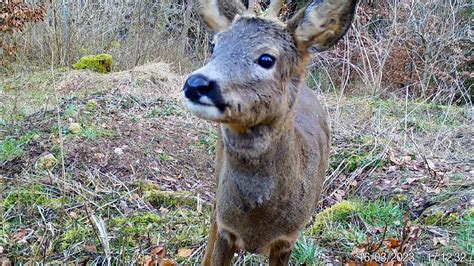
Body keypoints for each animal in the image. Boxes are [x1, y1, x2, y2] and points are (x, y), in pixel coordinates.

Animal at [181, 0, 356, 264]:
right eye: (214, 45)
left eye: (266, 58)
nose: (195, 84)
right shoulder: (226, 228)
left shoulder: (288, 239)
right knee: (212, 217)